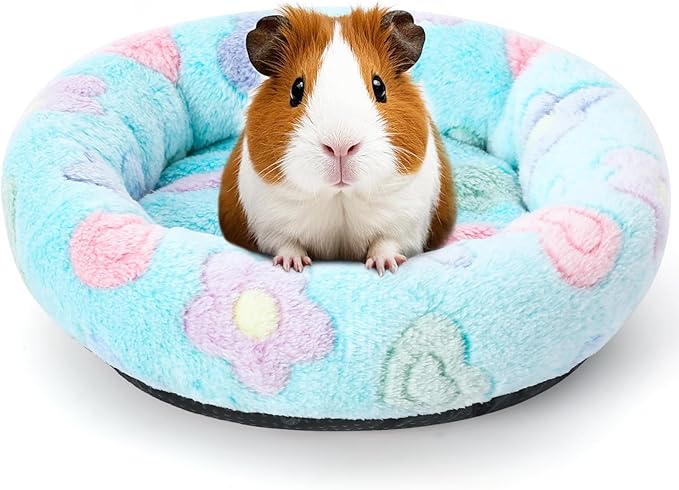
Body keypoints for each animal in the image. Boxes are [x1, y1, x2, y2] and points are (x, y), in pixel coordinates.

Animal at [219, 6, 456, 275]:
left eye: (379, 87)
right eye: (296, 89)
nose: (340, 147)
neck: (340, 197)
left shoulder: (404, 224)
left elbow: (386, 242)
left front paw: (386, 267)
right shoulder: (270, 225)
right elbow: (287, 244)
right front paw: (293, 266)